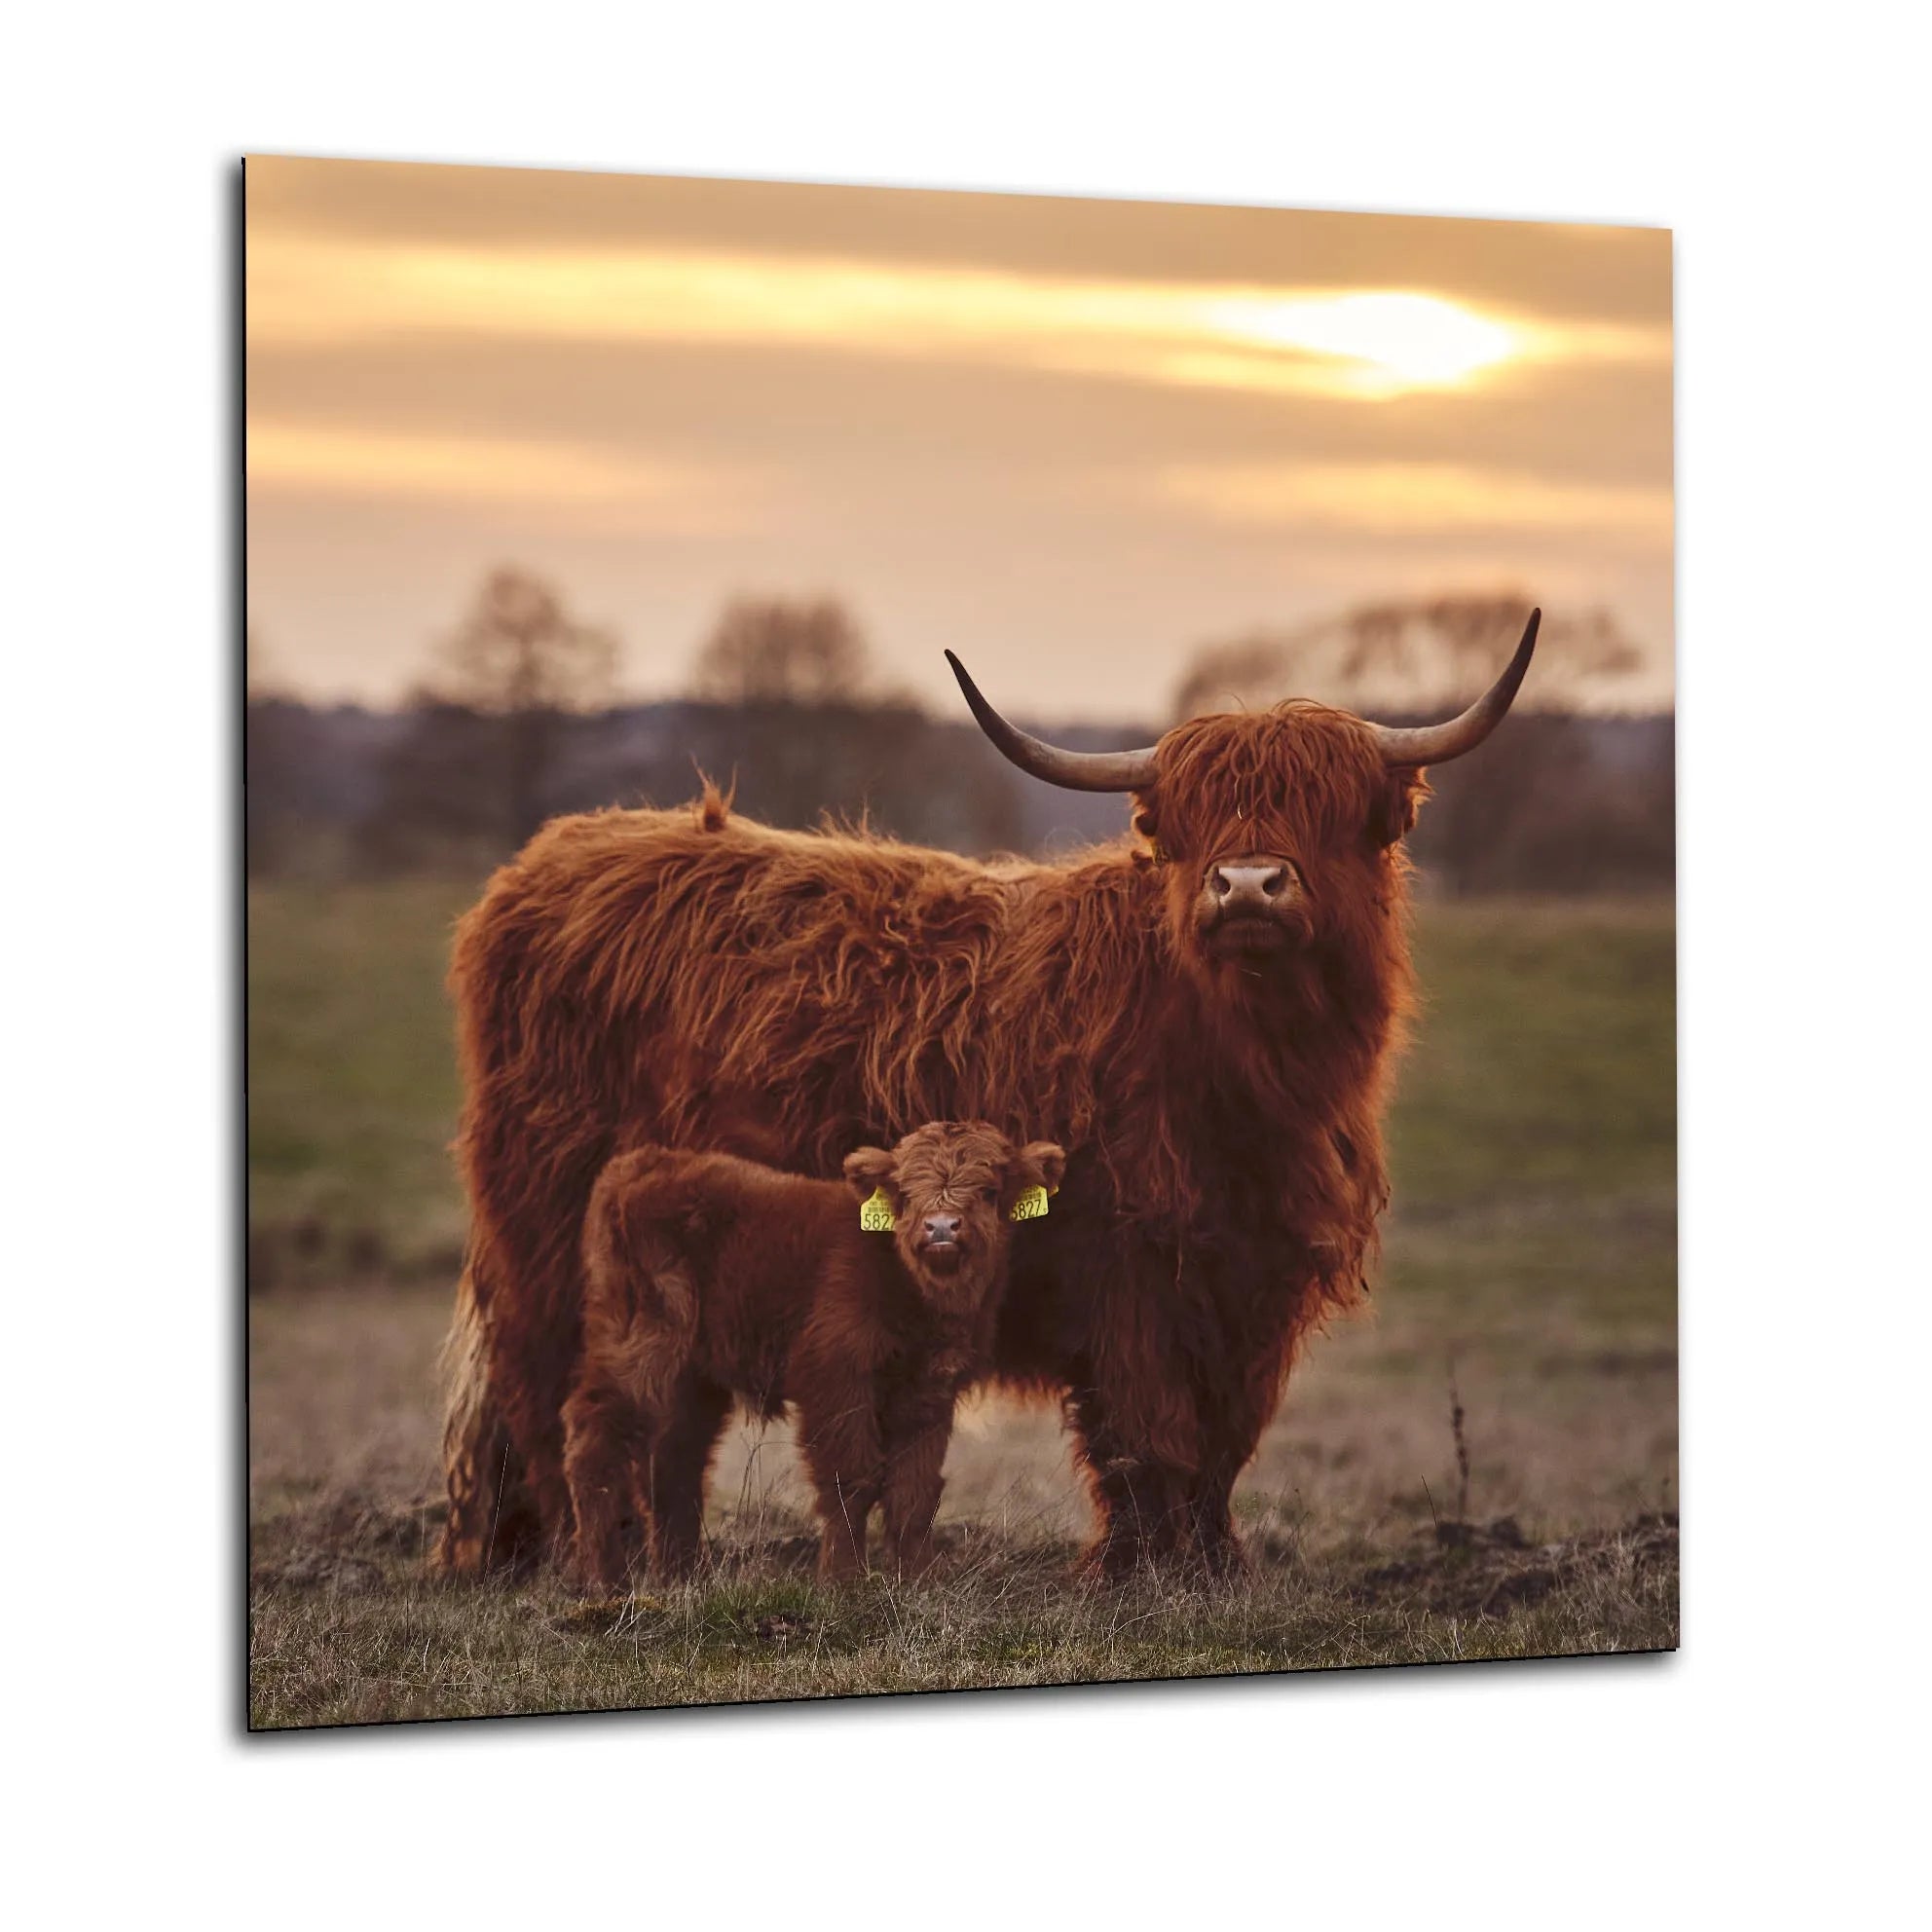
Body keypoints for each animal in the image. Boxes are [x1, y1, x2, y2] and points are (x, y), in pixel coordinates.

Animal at [563, 1122, 1066, 1590]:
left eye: (989, 1190)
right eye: (905, 1192)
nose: (941, 1226)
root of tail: (641, 1163)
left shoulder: (930, 1390)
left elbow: (915, 1491)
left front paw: (919, 1578)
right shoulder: (838, 1378)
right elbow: (852, 1480)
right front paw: (843, 1578)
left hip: (691, 1375)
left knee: (674, 1458)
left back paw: (683, 1575)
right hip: (642, 1340)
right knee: (596, 1438)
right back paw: (604, 1579)